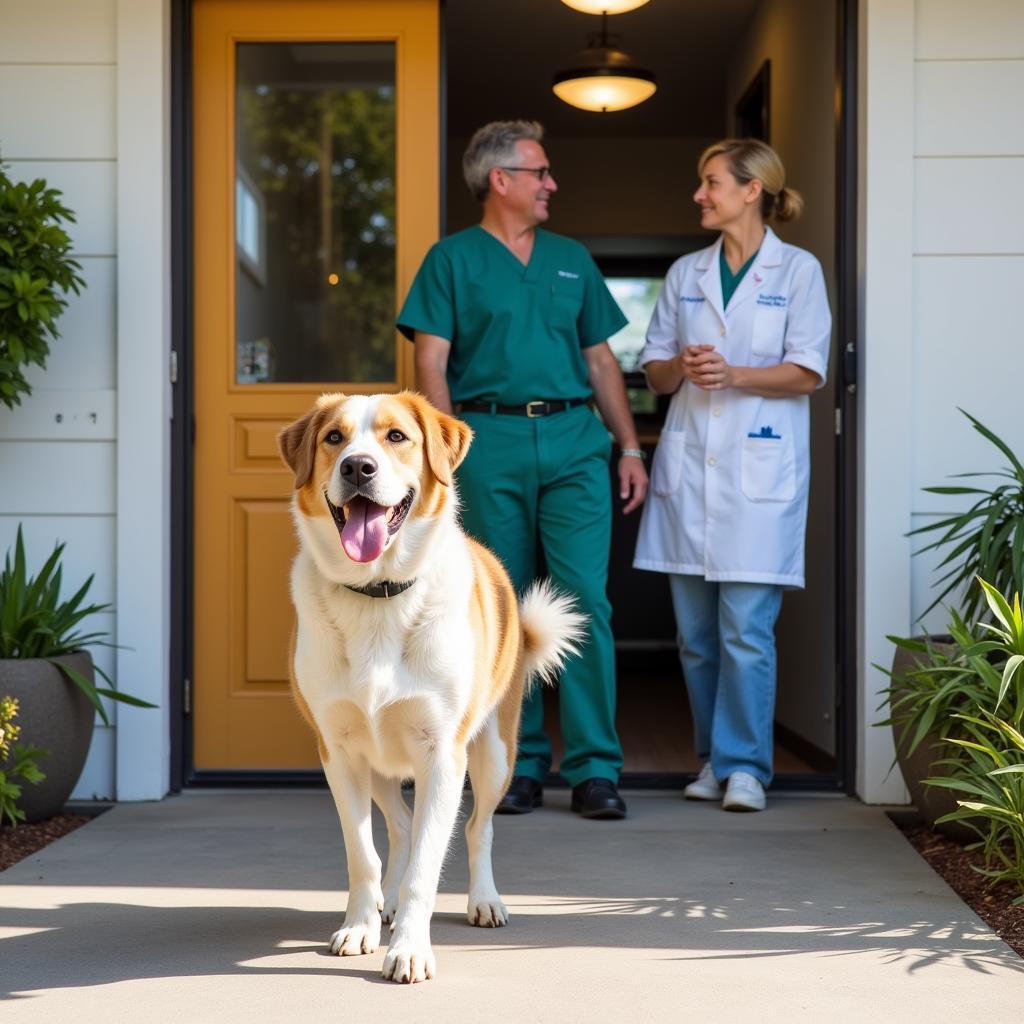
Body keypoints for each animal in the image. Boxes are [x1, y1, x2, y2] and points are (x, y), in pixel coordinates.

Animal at [278, 391, 585, 983]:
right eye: (334, 438)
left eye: (396, 437)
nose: (357, 467)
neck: (377, 594)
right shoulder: (340, 753)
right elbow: (364, 854)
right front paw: (362, 926)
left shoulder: (442, 755)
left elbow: (428, 862)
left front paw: (410, 950)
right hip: (378, 763)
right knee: (399, 827)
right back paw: (388, 903)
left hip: (493, 754)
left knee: (477, 829)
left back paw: (483, 900)